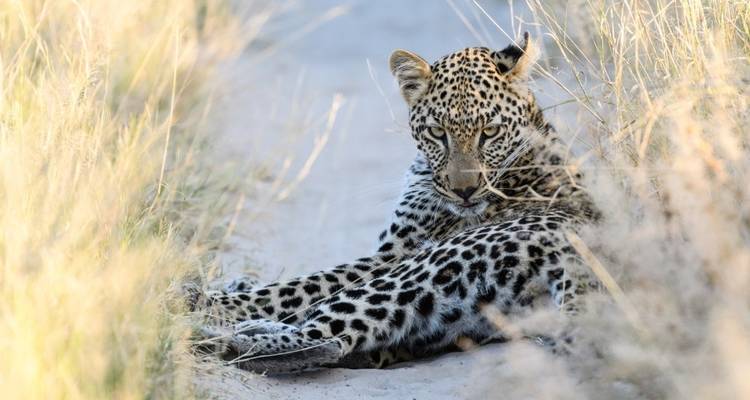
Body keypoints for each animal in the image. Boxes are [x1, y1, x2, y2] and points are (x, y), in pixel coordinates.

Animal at [190, 33, 601, 375]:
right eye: (437, 132)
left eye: (490, 132)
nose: (465, 191)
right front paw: (233, 283)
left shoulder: (391, 255)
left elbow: (296, 285)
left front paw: (212, 297)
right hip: (451, 315)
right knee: (347, 341)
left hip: (425, 265)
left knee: (328, 337)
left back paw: (211, 329)